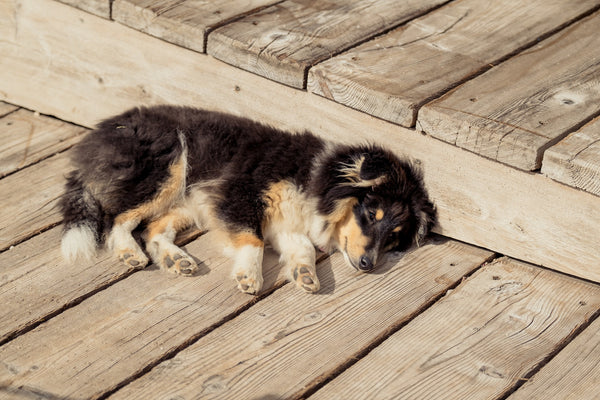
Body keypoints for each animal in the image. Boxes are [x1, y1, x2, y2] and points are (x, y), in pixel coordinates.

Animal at [59, 105, 436, 294]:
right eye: (371, 214)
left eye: (395, 237)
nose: (368, 265)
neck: (316, 177)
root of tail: (103, 131)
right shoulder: (239, 192)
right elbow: (252, 240)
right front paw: (250, 277)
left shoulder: (285, 223)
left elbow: (303, 247)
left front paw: (304, 274)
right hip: (170, 167)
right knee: (117, 219)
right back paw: (129, 252)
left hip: (190, 201)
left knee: (153, 229)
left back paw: (175, 259)